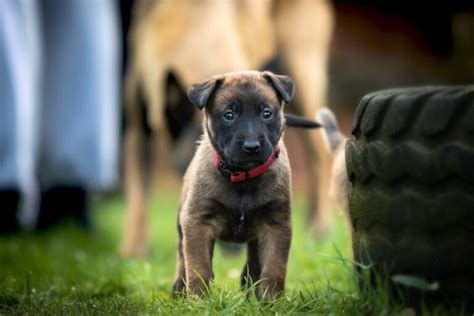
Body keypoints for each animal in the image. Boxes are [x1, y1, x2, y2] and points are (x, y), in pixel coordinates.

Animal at [170, 71, 318, 298]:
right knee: (181, 255)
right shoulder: (198, 222)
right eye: (229, 115)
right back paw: (179, 288)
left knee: (254, 262)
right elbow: (198, 267)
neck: (243, 178)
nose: (251, 146)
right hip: (182, 222)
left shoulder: (276, 226)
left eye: (267, 113)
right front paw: (200, 299)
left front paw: (270, 300)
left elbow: (274, 269)